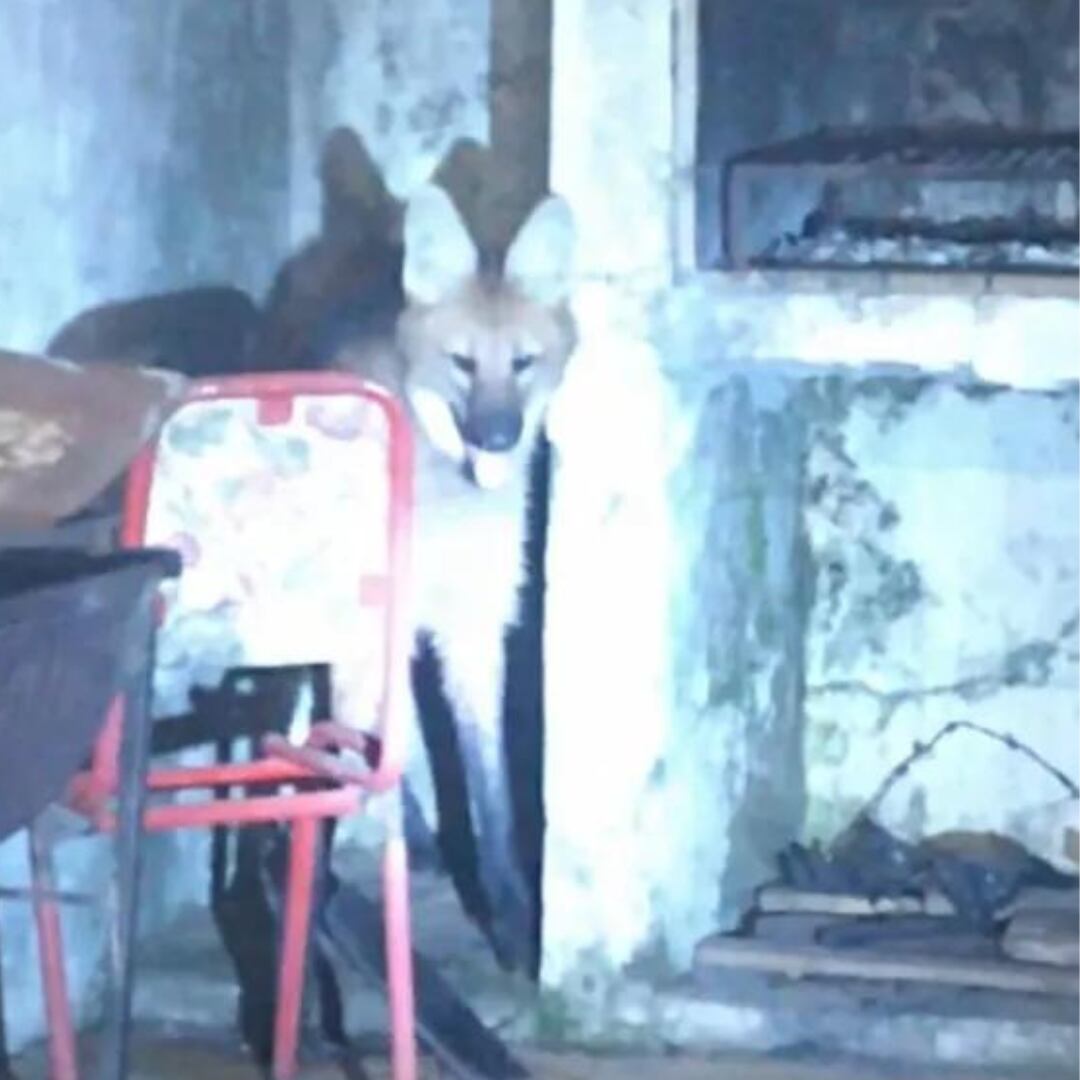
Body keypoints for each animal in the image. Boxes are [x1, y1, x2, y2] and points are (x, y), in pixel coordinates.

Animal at [334, 181, 574, 967]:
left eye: (524, 363)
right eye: (463, 363)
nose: (499, 436)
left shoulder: (476, 627)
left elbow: (490, 786)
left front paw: (510, 911)